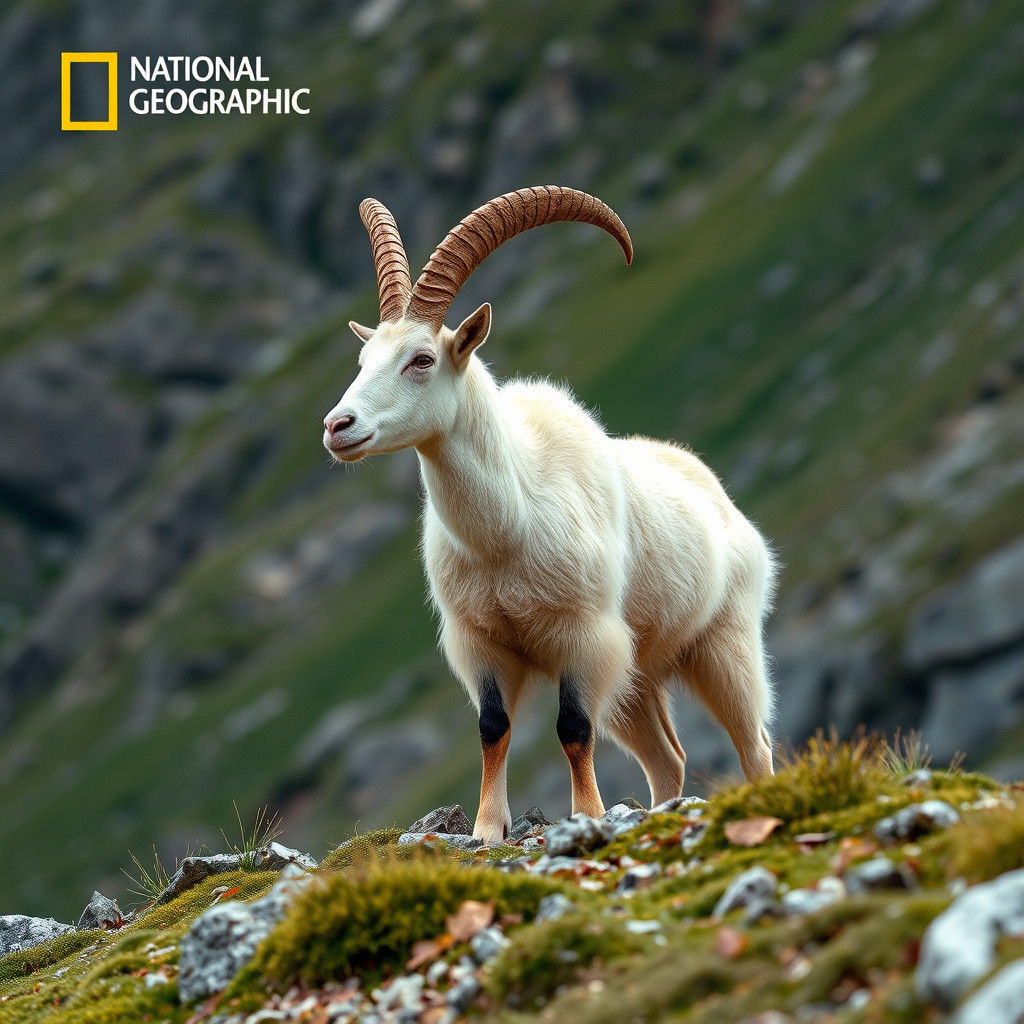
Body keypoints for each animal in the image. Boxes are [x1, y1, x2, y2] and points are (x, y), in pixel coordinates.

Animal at [324, 186, 776, 843]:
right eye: (363, 359)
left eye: (422, 359)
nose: (338, 427)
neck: (508, 527)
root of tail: (719, 498)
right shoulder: (481, 643)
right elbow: (492, 729)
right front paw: (487, 828)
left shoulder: (583, 637)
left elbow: (572, 728)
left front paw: (585, 814)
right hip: (637, 676)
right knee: (668, 759)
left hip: (725, 644)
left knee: (753, 744)